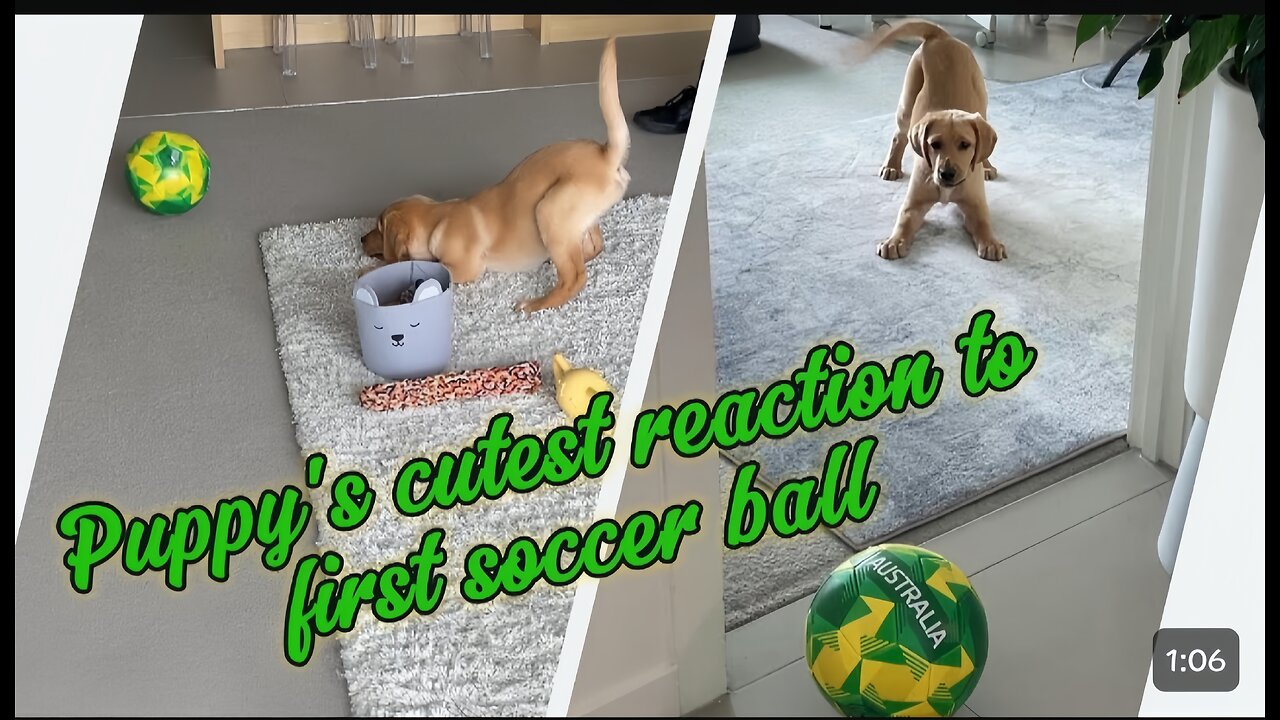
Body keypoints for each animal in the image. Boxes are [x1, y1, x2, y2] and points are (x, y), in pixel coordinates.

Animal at [360, 36, 629, 311]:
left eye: (379, 228)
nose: (360, 239)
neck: (439, 217)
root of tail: (606, 153)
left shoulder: (465, 268)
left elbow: (426, 265)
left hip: (550, 208)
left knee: (574, 277)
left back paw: (536, 304)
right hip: (577, 220)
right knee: (594, 247)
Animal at [865, 18, 1003, 260]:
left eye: (965, 145)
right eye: (934, 145)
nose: (946, 174)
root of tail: (942, 36)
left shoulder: (976, 204)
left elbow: (984, 222)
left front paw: (991, 243)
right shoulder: (914, 203)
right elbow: (903, 219)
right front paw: (893, 241)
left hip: (981, 100)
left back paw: (986, 166)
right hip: (907, 100)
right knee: (899, 136)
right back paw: (891, 166)